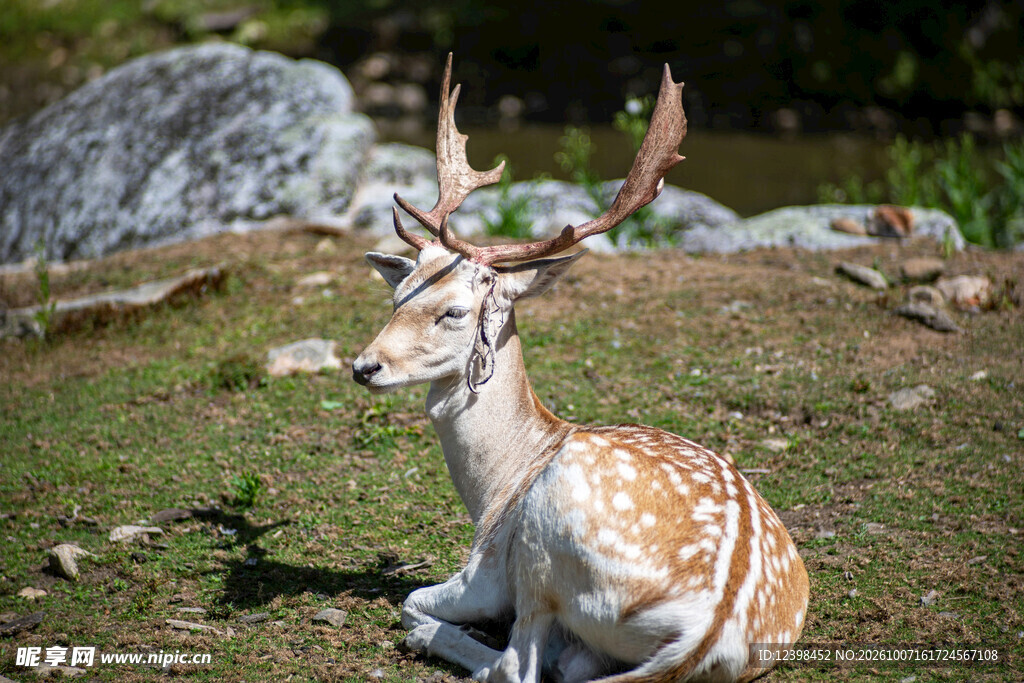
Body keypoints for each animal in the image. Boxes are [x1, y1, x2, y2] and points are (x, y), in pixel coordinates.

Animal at [351, 54, 809, 683]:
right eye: (398, 297)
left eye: (454, 311)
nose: (363, 366)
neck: (493, 487)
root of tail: (705, 632)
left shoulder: (485, 569)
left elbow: (411, 600)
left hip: (541, 544)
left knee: (514, 664)